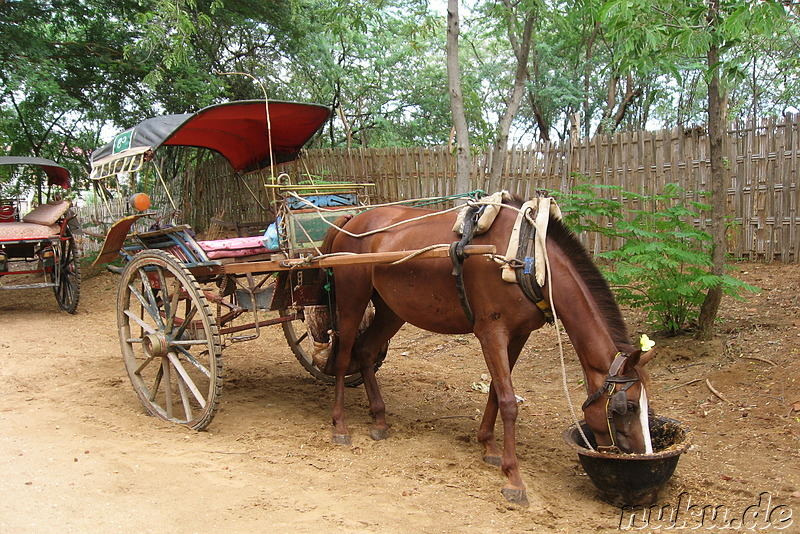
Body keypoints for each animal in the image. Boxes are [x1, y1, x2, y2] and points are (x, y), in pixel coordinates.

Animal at [316, 196, 652, 506]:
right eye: (626, 407)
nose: (640, 454)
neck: (528, 257)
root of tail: (353, 220)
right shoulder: (491, 332)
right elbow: (509, 401)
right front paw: (513, 477)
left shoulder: (519, 334)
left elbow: (495, 390)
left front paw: (489, 446)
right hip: (353, 297)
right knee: (344, 357)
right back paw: (340, 425)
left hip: (391, 309)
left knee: (366, 350)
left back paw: (380, 419)